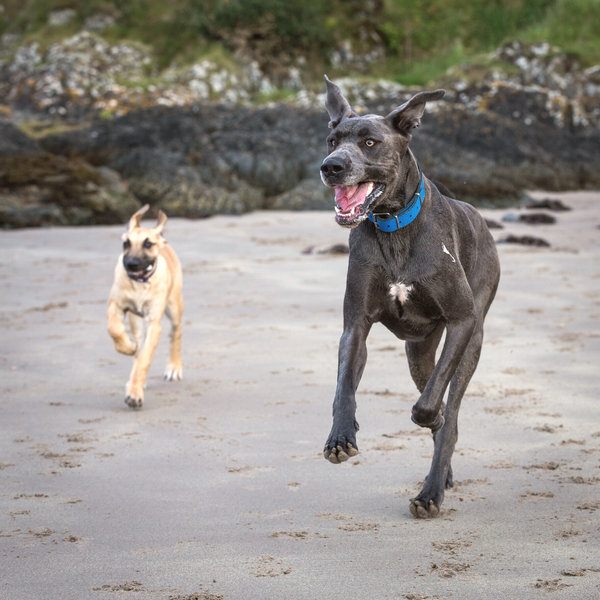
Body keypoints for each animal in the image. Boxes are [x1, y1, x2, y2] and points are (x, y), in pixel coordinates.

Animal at [107, 205, 183, 408]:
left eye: (148, 244)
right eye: (126, 243)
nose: (131, 264)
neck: (140, 284)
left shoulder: (154, 324)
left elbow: (145, 359)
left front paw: (134, 394)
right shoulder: (116, 305)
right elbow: (114, 328)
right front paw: (126, 347)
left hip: (174, 306)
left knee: (176, 333)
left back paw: (174, 367)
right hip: (136, 322)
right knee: (138, 347)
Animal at [322, 77, 500, 516]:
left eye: (369, 142)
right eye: (332, 139)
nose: (331, 166)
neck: (394, 226)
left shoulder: (462, 321)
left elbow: (430, 405)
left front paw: (430, 418)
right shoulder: (356, 326)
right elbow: (343, 387)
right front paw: (340, 436)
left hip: (472, 341)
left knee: (449, 410)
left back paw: (430, 492)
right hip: (418, 352)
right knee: (430, 384)